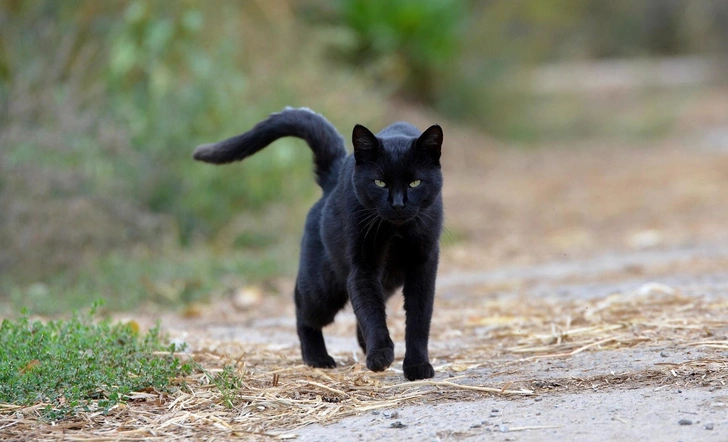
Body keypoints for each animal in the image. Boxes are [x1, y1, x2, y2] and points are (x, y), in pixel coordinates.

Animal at [193, 108, 440, 380]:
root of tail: (333, 175)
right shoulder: (362, 266)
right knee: (303, 311)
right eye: (379, 183)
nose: (397, 204)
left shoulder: (423, 265)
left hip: (386, 281)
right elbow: (371, 311)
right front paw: (380, 355)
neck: (395, 231)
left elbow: (418, 318)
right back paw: (317, 358)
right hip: (323, 289)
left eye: (415, 183)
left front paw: (417, 366)